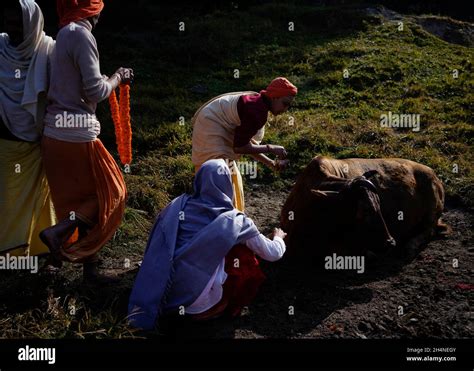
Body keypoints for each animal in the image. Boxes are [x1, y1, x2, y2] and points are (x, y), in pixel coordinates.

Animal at [282, 155, 452, 260]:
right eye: (364, 211)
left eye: (379, 205)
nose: (390, 242)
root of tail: (432, 173)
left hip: (432, 206)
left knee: (429, 230)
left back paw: (410, 247)